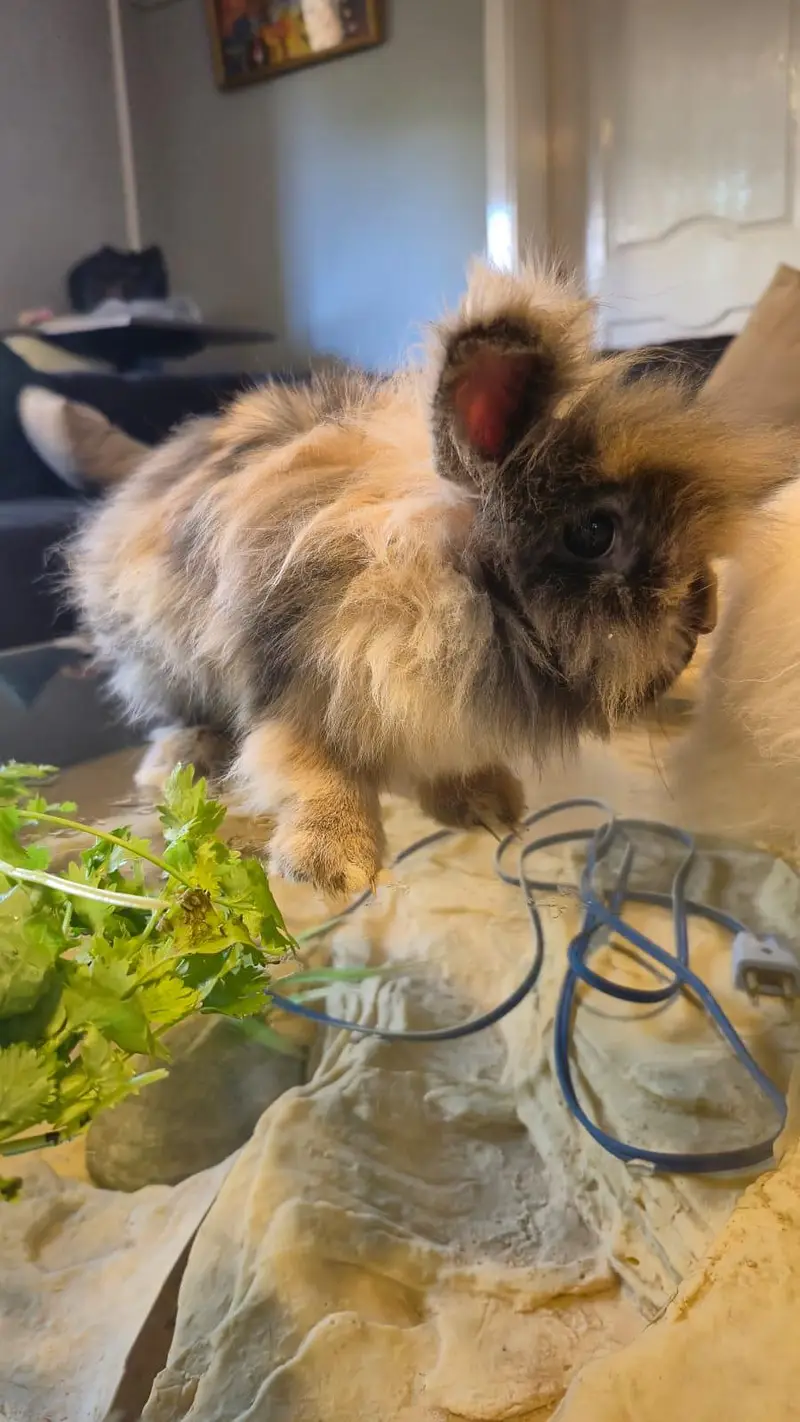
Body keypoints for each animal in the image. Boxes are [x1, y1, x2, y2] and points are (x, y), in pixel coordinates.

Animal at [68, 260, 795, 896]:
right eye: (594, 533)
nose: (706, 612)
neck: (445, 588)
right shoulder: (291, 688)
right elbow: (312, 771)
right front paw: (334, 868)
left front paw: (492, 805)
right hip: (161, 663)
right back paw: (173, 765)